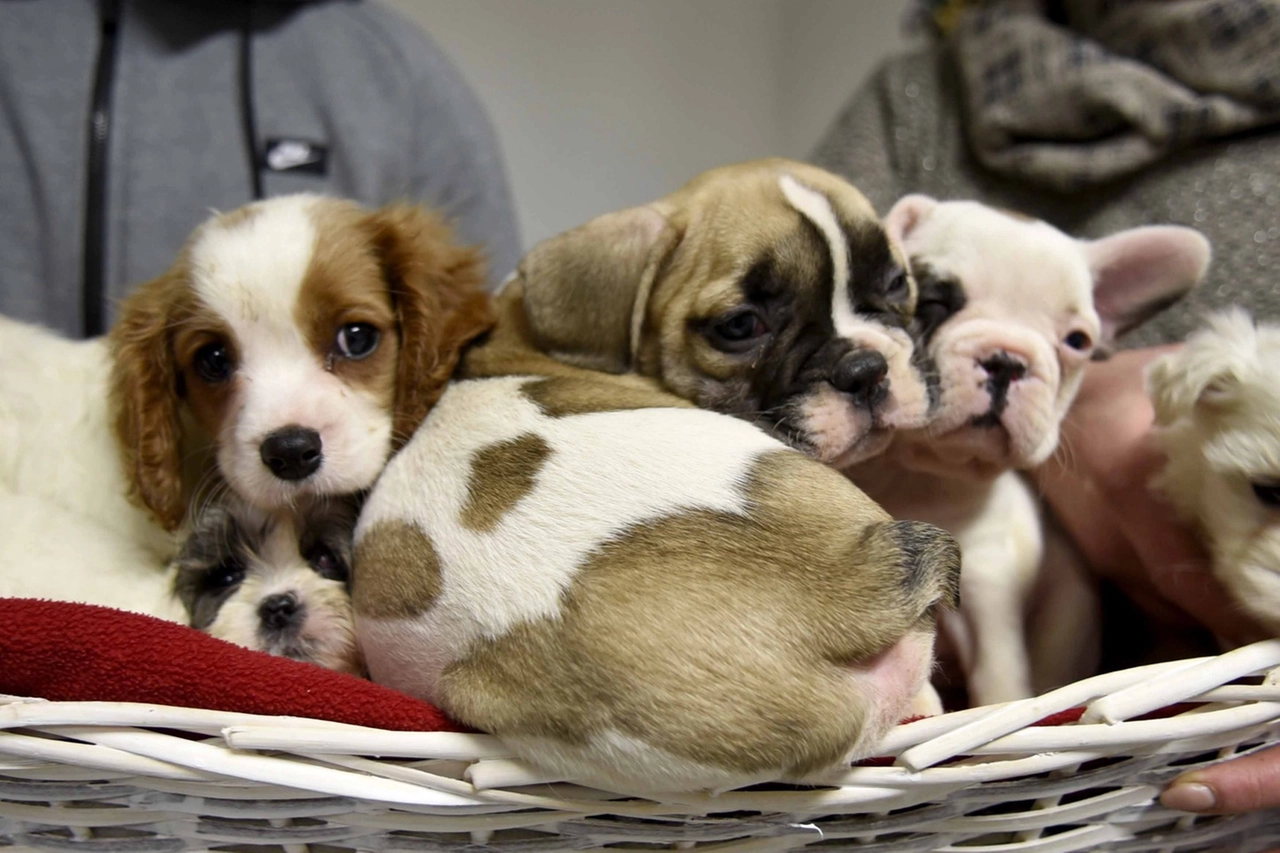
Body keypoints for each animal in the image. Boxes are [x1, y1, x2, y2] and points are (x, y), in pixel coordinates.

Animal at [849, 197, 1208, 701]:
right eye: (934, 302)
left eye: (1078, 341)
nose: (1007, 360)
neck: (916, 471)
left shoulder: (986, 585)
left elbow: (999, 676)